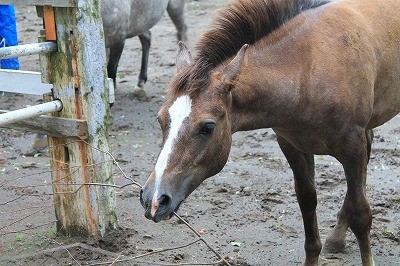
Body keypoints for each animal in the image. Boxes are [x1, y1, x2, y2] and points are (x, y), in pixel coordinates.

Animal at [140, 0, 400, 264]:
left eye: (208, 127)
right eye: (161, 119)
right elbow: (308, 202)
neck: (308, 69)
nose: (154, 200)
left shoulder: (352, 147)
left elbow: (360, 213)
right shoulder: (291, 145)